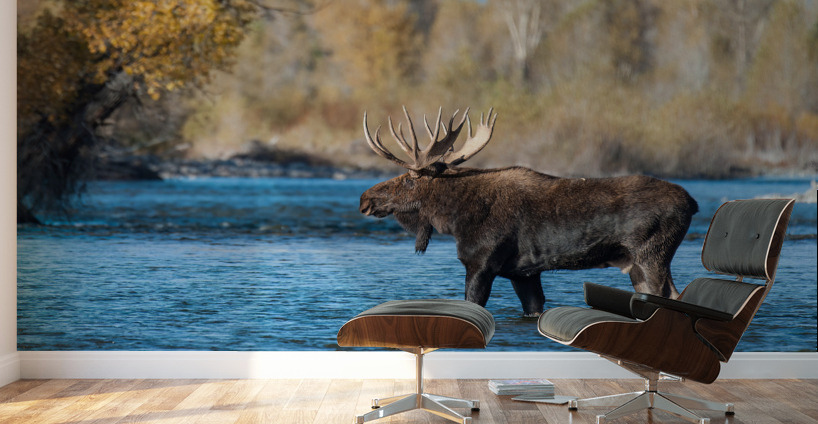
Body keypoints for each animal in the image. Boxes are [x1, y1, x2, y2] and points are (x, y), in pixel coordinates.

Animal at [359, 106, 699, 317]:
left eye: (409, 179)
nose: (365, 199)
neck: (455, 218)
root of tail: (692, 203)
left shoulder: (481, 263)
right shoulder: (523, 272)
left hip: (651, 256)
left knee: (671, 297)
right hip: (637, 265)